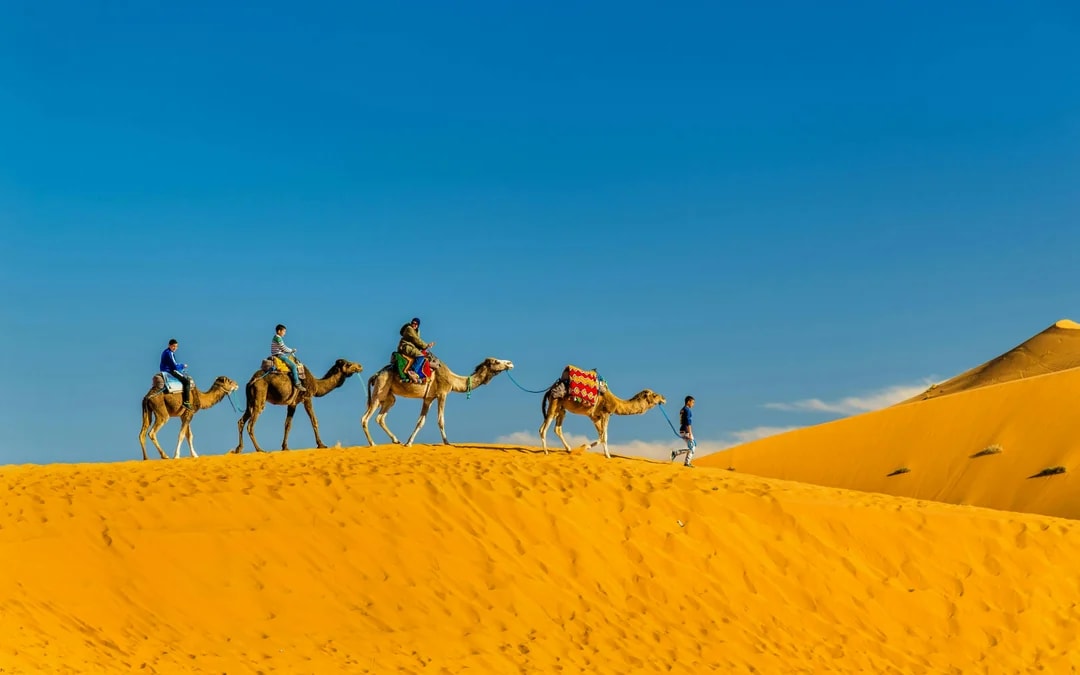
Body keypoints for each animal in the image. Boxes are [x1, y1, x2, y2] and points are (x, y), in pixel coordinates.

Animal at [232, 358, 364, 454]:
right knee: (250, 424)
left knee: (241, 421)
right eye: (349, 364)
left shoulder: (292, 404)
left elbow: (287, 424)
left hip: (250, 401)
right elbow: (314, 420)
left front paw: (285, 447)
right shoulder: (307, 398)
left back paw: (238, 449)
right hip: (260, 396)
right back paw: (259, 449)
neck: (316, 385)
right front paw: (321, 444)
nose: (360, 366)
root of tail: (251, 381)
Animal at [362, 356, 514, 446]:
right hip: (380, 390)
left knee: (380, 417)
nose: (510, 363)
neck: (452, 380)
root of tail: (376, 374)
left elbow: (420, 421)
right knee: (365, 418)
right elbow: (441, 420)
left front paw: (408, 442)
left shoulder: (428, 398)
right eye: (496, 361)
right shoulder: (442, 393)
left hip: (389, 396)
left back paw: (395, 440)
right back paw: (373, 444)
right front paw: (447, 442)